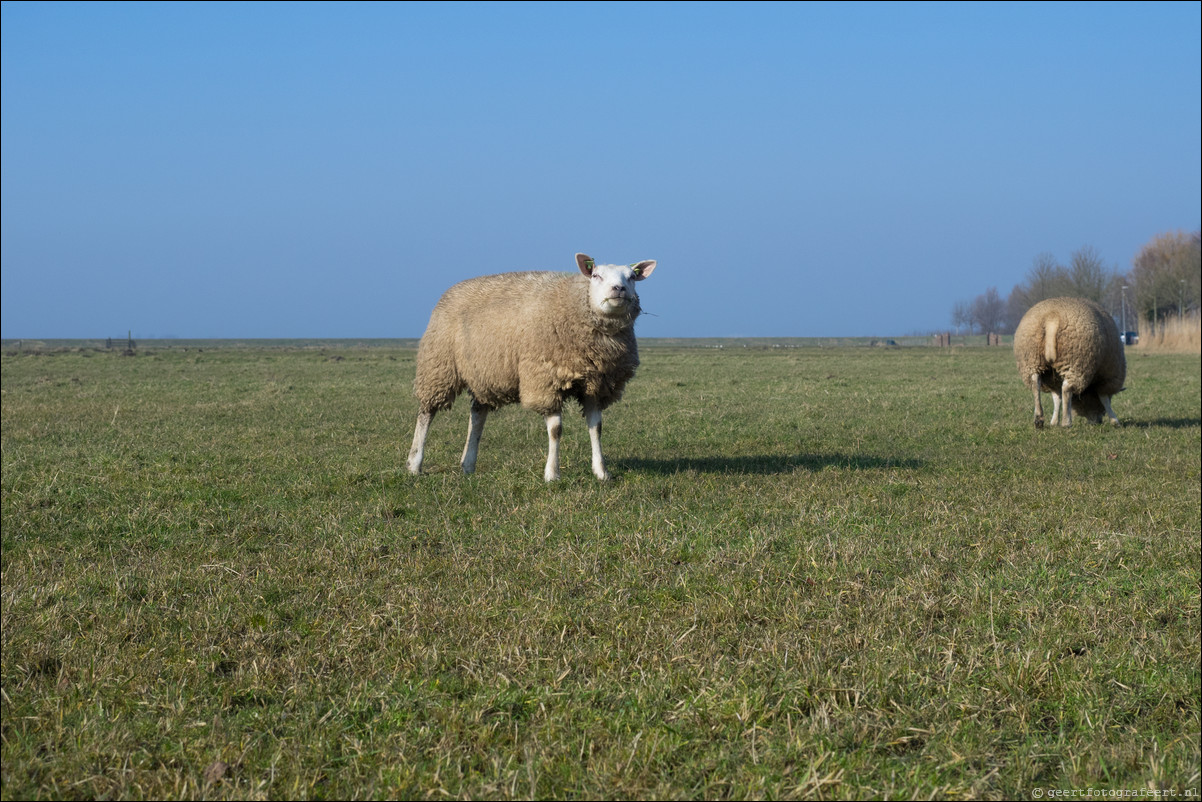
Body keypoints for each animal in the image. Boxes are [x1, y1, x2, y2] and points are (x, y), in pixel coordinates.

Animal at [406, 251, 658, 480]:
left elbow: (596, 428)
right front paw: (552, 474)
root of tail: (451, 290)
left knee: (477, 414)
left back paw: (468, 464)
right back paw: (414, 464)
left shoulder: (595, 385)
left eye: (632, 277)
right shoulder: (546, 380)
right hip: (439, 366)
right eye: (596, 275)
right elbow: (556, 430)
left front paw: (602, 472)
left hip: (484, 371)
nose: (619, 289)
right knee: (427, 413)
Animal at [1014, 298, 1125, 430]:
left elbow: (1057, 399)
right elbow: (1104, 398)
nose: (1098, 421)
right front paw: (1115, 421)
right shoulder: (1107, 377)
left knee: (1035, 385)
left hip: (1032, 360)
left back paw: (1039, 420)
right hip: (1076, 362)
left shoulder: (1053, 380)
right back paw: (1066, 423)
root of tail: (1052, 316)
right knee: (1067, 389)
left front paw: (1053, 421)